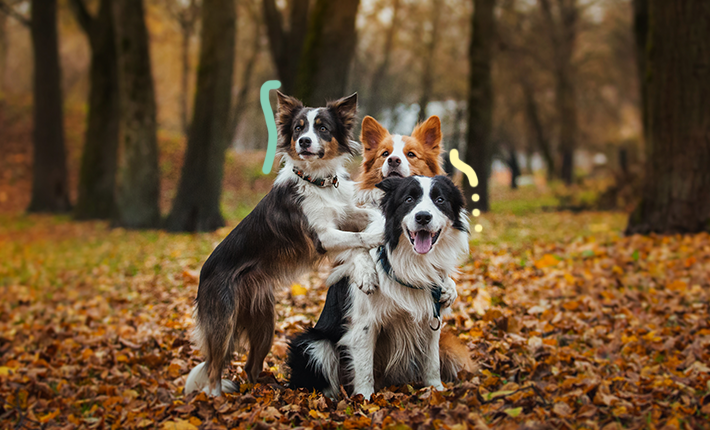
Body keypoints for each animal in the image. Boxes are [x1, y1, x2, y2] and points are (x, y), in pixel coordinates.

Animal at [185, 92, 384, 394]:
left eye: (322, 128)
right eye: (299, 129)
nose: (304, 142)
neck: (317, 181)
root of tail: (203, 274)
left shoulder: (345, 216)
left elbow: (361, 228)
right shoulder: (321, 236)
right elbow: (359, 240)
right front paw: (378, 242)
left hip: (265, 323)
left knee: (250, 366)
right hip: (223, 322)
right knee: (213, 371)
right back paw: (217, 397)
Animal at [286, 176, 470, 398]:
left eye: (440, 199)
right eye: (408, 199)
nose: (423, 217)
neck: (411, 263)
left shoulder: (432, 319)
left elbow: (432, 362)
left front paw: (436, 390)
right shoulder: (364, 323)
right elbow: (364, 368)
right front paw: (364, 399)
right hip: (314, 344)